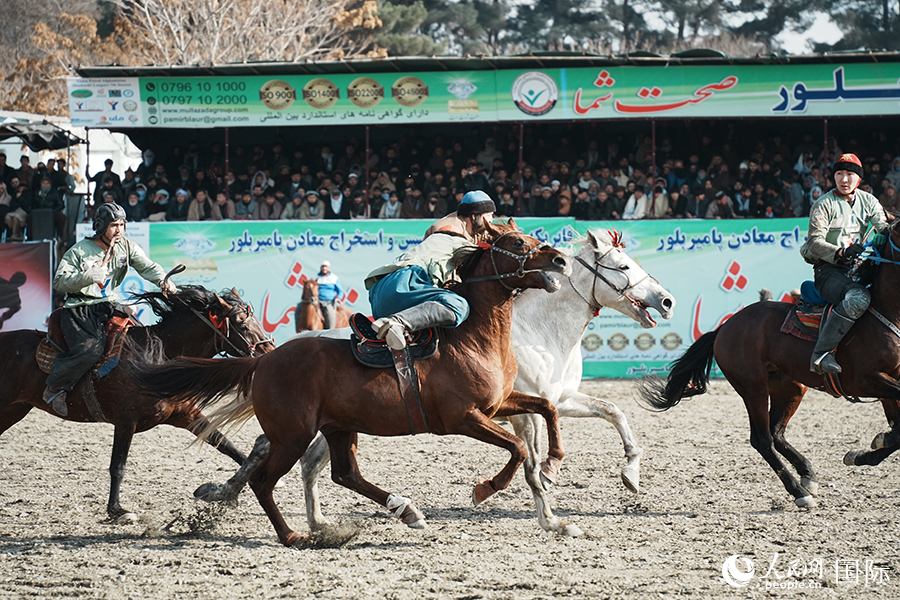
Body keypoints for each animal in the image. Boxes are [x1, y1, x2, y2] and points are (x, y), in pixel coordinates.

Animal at [0, 284, 275, 522]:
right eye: (241, 323)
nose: (270, 352)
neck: (159, 356)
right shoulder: (126, 420)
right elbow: (118, 465)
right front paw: (117, 510)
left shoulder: (187, 414)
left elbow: (226, 445)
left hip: (15, 409)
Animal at [128, 220, 572, 546]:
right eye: (518, 241)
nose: (560, 260)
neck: (471, 337)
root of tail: (264, 358)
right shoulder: (464, 418)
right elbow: (517, 448)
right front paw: (486, 488)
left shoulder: (500, 404)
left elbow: (546, 410)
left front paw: (552, 464)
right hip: (293, 435)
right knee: (264, 480)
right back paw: (292, 535)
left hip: (338, 427)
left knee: (344, 474)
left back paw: (406, 511)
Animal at [639, 221, 900, 509]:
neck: (884, 313)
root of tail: (724, 328)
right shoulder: (867, 380)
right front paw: (872, 445)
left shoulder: (887, 382)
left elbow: (897, 429)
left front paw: (867, 449)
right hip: (753, 389)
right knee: (762, 440)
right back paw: (799, 491)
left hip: (790, 388)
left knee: (777, 434)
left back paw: (808, 475)